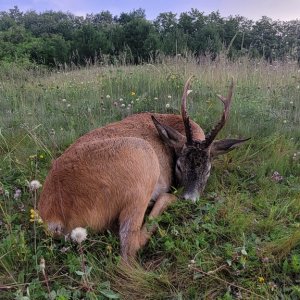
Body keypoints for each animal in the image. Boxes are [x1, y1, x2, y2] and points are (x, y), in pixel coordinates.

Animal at [37, 77, 248, 260]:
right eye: (178, 166)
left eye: (208, 170)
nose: (189, 199)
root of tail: (53, 217)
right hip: (142, 163)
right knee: (130, 245)